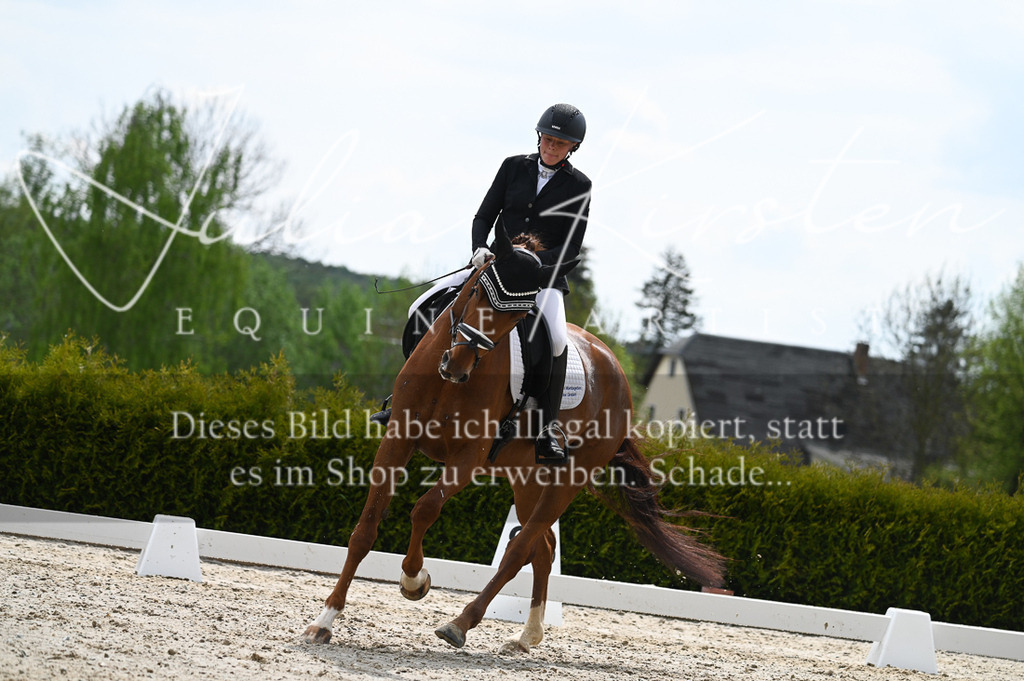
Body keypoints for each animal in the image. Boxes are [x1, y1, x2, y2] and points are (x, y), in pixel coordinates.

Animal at [303, 227, 726, 651]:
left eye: (519, 316)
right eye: (477, 291)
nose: (456, 367)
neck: (448, 383)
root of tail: (614, 365)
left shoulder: (467, 457)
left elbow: (424, 509)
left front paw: (414, 580)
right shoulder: (397, 438)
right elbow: (365, 528)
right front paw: (324, 620)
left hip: (569, 479)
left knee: (521, 548)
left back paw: (461, 623)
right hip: (526, 478)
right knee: (544, 548)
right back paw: (527, 635)